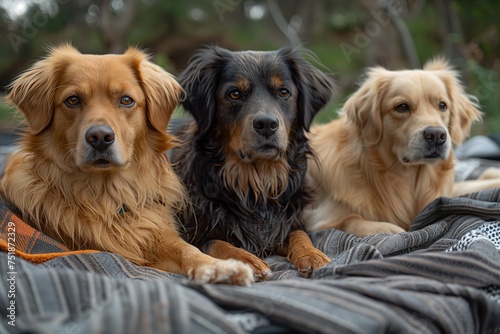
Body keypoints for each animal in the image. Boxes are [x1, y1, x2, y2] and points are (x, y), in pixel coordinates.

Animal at [1, 45, 254, 284]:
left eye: (126, 100)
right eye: (72, 100)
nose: (100, 137)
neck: (105, 196)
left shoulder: (154, 236)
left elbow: (187, 249)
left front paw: (218, 267)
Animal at [172, 45, 336, 280]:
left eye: (284, 92)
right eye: (234, 94)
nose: (266, 124)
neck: (256, 181)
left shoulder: (285, 222)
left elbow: (299, 233)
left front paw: (312, 255)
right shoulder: (189, 232)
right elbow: (216, 242)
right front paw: (246, 259)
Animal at [302, 60, 500, 237]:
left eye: (442, 105)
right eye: (402, 107)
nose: (437, 135)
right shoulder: (315, 216)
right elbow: (349, 219)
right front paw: (387, 229)